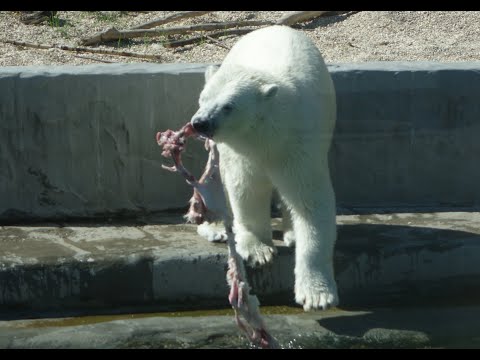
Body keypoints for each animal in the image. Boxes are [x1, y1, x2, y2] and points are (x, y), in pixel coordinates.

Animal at [189, 26, 336, 312]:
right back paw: (215, 228)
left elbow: (310, 202)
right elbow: (246, 188)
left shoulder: (299, 148)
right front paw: (259, 251)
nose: (200, 122)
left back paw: (291, 233)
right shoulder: (242, 152)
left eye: (228, 106)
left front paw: (316, 295)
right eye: (202, 99)